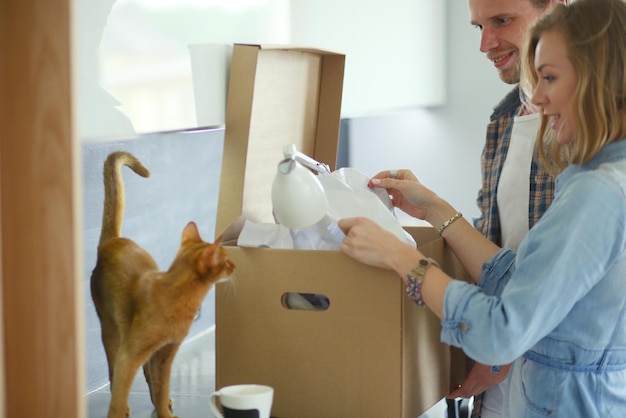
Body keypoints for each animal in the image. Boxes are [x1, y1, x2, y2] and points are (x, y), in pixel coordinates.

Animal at [89, 151, 233, 418]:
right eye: (227, 259)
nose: (235, 265)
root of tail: (112, 242)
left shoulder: (167, 352)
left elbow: (161, 387)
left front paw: (164, 409)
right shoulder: (130, 353)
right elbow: (121, 390)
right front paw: (119, 410)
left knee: (148, 375)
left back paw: (161, 404)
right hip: (111, 330)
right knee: (115, 374)